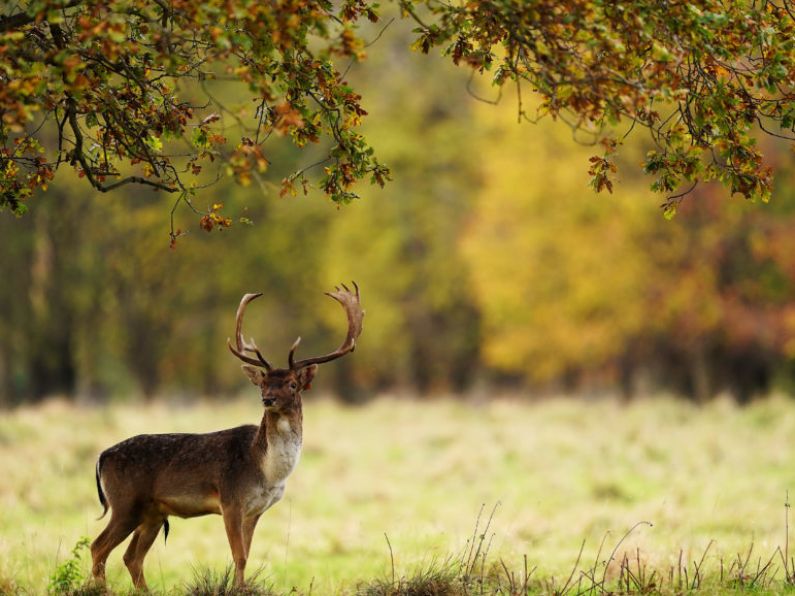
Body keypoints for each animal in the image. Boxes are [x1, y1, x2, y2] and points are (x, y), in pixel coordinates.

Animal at [91, 282, 366, 588]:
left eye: (293, 384)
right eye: (263, 384)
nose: (268, 399)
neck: (267, 471)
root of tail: (102, 457)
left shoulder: (255, 510)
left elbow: (245, 554)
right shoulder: (230, 500)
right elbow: (240, 556)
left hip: (153, 512)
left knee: (131, 557)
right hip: (125, 503)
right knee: (98, 548)